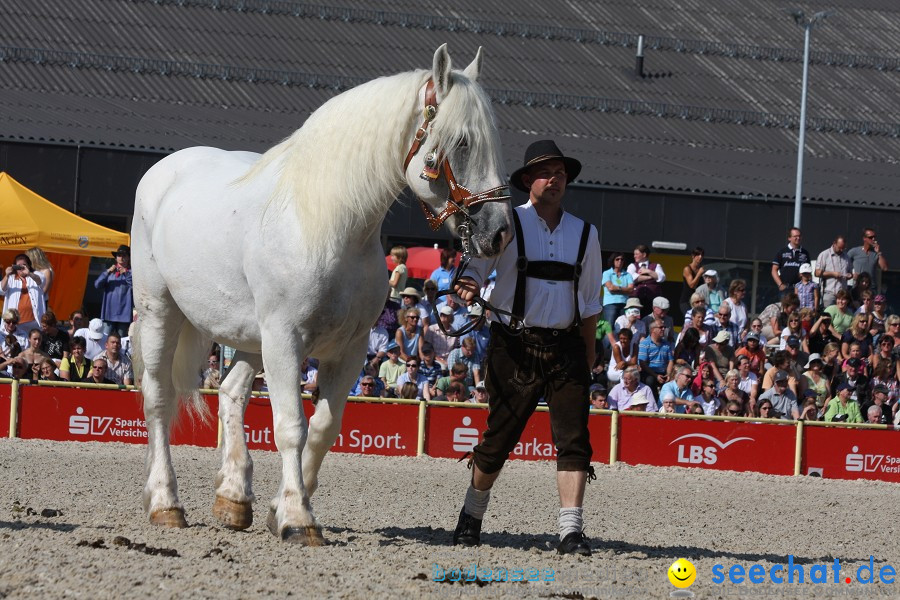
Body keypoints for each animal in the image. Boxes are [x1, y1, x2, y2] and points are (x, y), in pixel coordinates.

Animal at [133, 45, 512, 544]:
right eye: (463, 142)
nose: (499, 232)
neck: (329, 225)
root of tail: (164, 169)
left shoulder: (348, 349)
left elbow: (324, 428)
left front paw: (281, 508)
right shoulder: (286, 341)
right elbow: (291, 427)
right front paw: (297, 518)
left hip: (250, 338)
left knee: (232, 393)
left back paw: (233, 499)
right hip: (162, 313)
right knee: (158, 397)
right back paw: (165, 503)